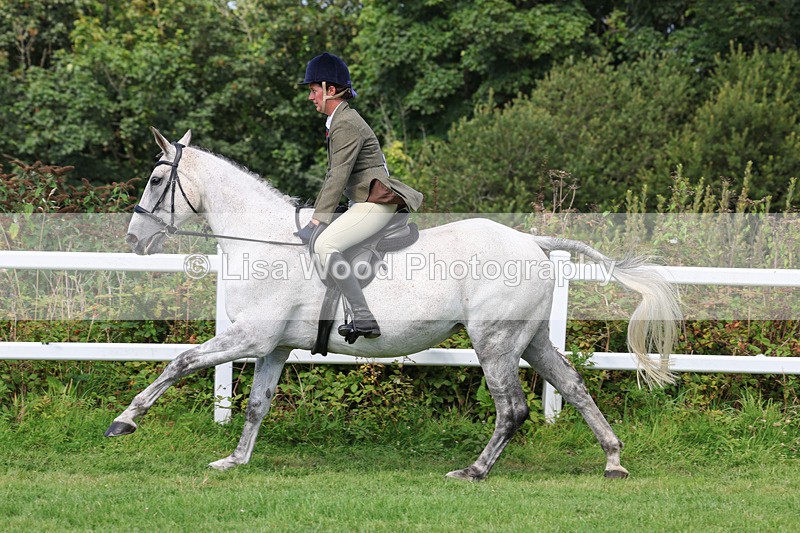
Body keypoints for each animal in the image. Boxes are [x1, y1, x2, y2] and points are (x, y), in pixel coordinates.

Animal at [106, 127, 682, 481]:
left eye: (156, 180)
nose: (134, 240)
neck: (265, 241)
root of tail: (531, 242)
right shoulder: (274, 346)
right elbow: (256, 405)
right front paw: (235, 459)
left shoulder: (250, 337)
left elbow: (179, 362)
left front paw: (125, 422)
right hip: (531, 339)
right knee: (574, 388)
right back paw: (613, 461)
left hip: (494, 342)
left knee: (512, 408)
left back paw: (473, 471)